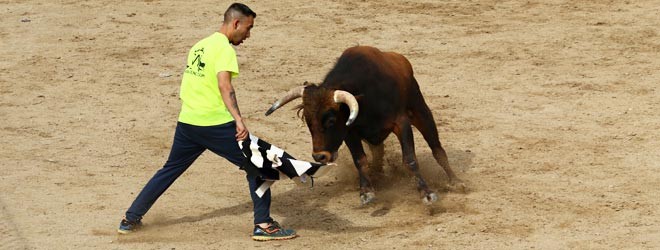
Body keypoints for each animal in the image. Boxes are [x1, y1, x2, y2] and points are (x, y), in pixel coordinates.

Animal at [264, 46, 464, 204]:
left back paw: (456, 181)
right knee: (378, 152)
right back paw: (378, 176)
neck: (365, 96)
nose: (319, 156)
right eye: (308, 121)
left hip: (421, 112)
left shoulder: (402, 123)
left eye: (331, 121)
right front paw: (366, 191)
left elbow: (410, 159)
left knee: (437, 149)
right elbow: (360, 160)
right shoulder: (350, 132)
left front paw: (427, 193)